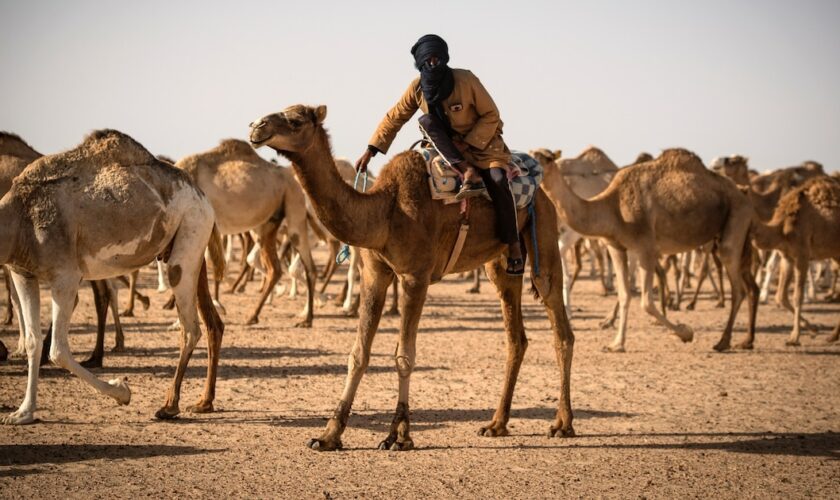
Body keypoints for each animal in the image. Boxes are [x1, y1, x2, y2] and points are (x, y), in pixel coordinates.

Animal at [0, 129, 226, 422]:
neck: (18, 217)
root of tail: (203, 197)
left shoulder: (65, 275)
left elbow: (58, 350)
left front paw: (122, 391)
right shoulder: (23, 272)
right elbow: (32, 341)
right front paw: (22, 413)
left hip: (189, 233)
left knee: (190, 328)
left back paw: (169, 405)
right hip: (192, 246)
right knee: (213, 323)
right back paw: (204, 402)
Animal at [176, 139, 316, 326]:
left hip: (294, 204)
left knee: (309, 266)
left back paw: (307, 318)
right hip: (267, 225)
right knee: (275, 268)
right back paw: (254, 315)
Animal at [251, 104, 576, 450]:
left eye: (296, 120)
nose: (257, 127)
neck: (384, 211)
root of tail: (541, 191)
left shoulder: (415, 277)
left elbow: (404, 355)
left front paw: (400, 435)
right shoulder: (375, 273)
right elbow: (358, 354)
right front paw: (329, 435)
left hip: (543, 234)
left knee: (560, 327)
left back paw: (562, 424)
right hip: (500, 265)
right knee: (516, 337)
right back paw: (496, 424)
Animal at [536, 148, 756, 352]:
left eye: (546, 158)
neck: (611, 206)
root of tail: (744, 194)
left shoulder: (645, 248)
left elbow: (646, 302)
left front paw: (685, 332)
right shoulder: (616, 246)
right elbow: (624, 295)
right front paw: (617, 343)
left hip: (736, 220)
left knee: (738, 289)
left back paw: (723, 341)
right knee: (749, 286)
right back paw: (746, 340)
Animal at [752, 176, 836, 344]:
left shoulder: (802, 255)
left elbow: (797, 296)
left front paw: (794, 337)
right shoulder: (787, 257)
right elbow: (781, 296)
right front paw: (813, 329)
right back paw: (833, 336)